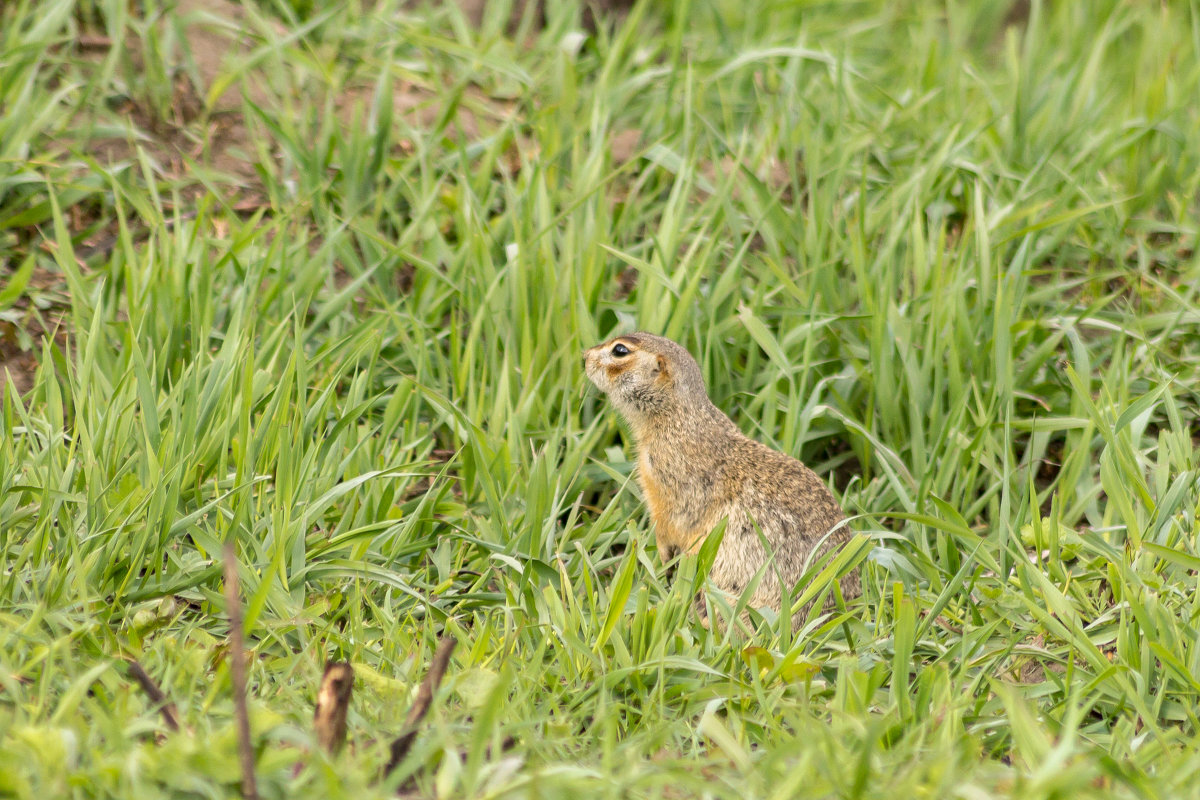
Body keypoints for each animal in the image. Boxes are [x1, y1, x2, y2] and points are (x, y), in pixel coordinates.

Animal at [583, 331, 859, 618]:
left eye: (620, 350)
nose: (584, 357)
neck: (678, 417)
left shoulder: (667, 483)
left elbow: (670, 524)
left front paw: (663, 558)